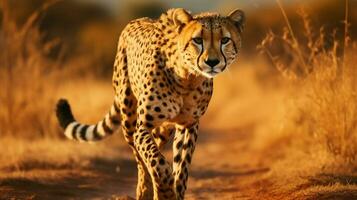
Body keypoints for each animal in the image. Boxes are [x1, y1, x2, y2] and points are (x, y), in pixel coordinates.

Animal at [56, 8, 245, 200]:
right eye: (197, 40)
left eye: (225, 40)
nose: (212, 62)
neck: (187, 78)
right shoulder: (143, 127)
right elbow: (156, 161)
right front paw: (164, 192)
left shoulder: (189, 125)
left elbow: (181, 167)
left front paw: (175, 190)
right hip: (129, 118)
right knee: (140, 158)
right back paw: (144, 190)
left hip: (162, 128)